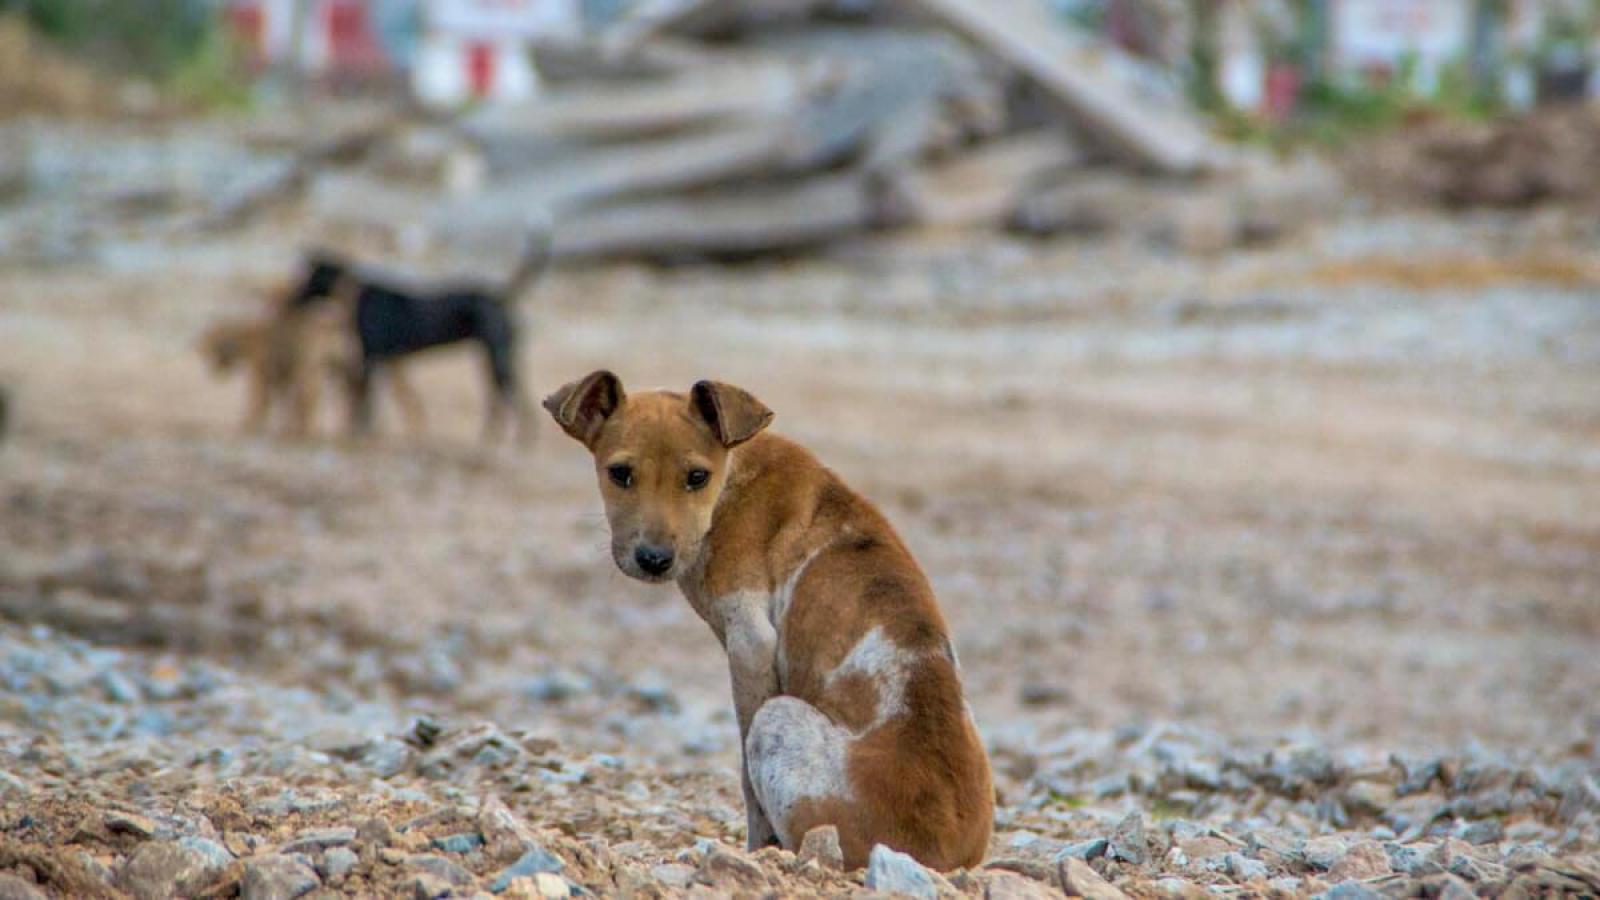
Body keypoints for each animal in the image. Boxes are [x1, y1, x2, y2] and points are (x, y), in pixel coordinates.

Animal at [291, 230, 553, 441]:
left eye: (307, 277)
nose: (292, 299)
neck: (352, 293)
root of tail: (501, 296)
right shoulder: (388, 361)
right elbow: (394, 400)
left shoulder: (370, 357)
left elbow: (366, 402)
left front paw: (360, 432)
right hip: (497, 356)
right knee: (503, 396)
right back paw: (493, 439)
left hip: (497, 357)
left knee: (509, 395)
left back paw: (515, 440)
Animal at [547, 368, 985, 864]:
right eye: (619, 474)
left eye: (697, 477)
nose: (654, 559)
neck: (732, 480)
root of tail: (942, 855)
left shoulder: (750, 643)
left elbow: (745, 782)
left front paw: (756, 850)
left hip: (778, 719)